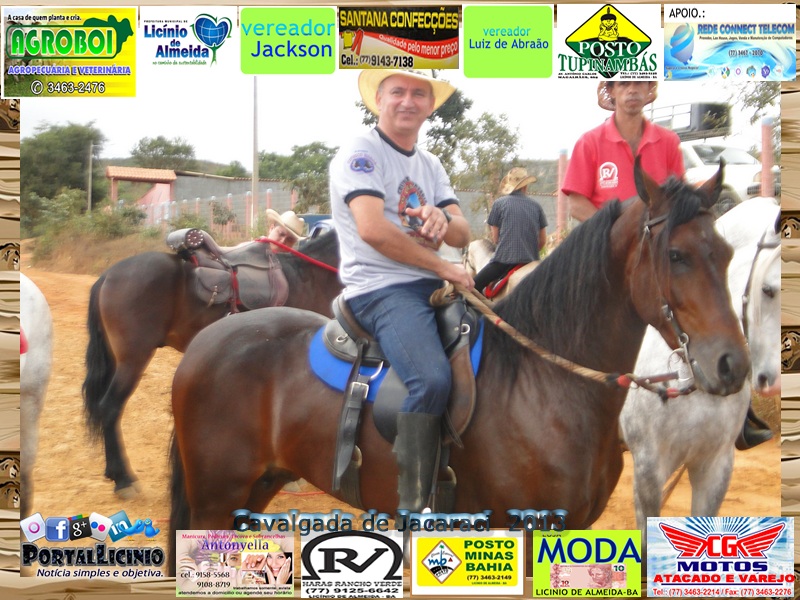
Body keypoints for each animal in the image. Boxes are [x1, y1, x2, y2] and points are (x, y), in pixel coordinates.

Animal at [167, 161, 749, 574]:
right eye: (676, 256)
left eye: (724, 253)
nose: (732, 365)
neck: (543, 385)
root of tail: (206, 343)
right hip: (217, 496)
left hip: (255, 487)